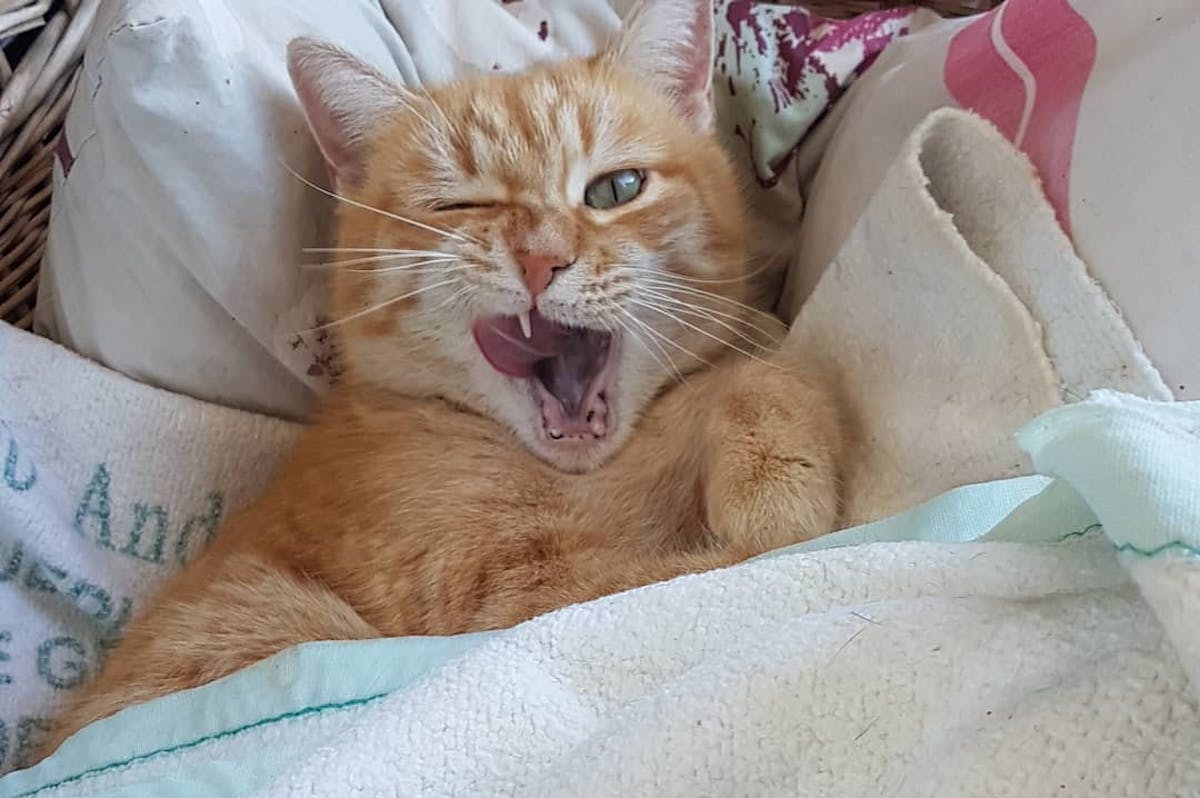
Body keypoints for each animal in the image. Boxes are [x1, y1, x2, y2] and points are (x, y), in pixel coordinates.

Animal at [39, 0, 844, 758]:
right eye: (459, 206)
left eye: (617, 189)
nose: (541, 259)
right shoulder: (513, 604)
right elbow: (713, 570)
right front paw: (777, 509)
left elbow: (763, 373)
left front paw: (771, 449)